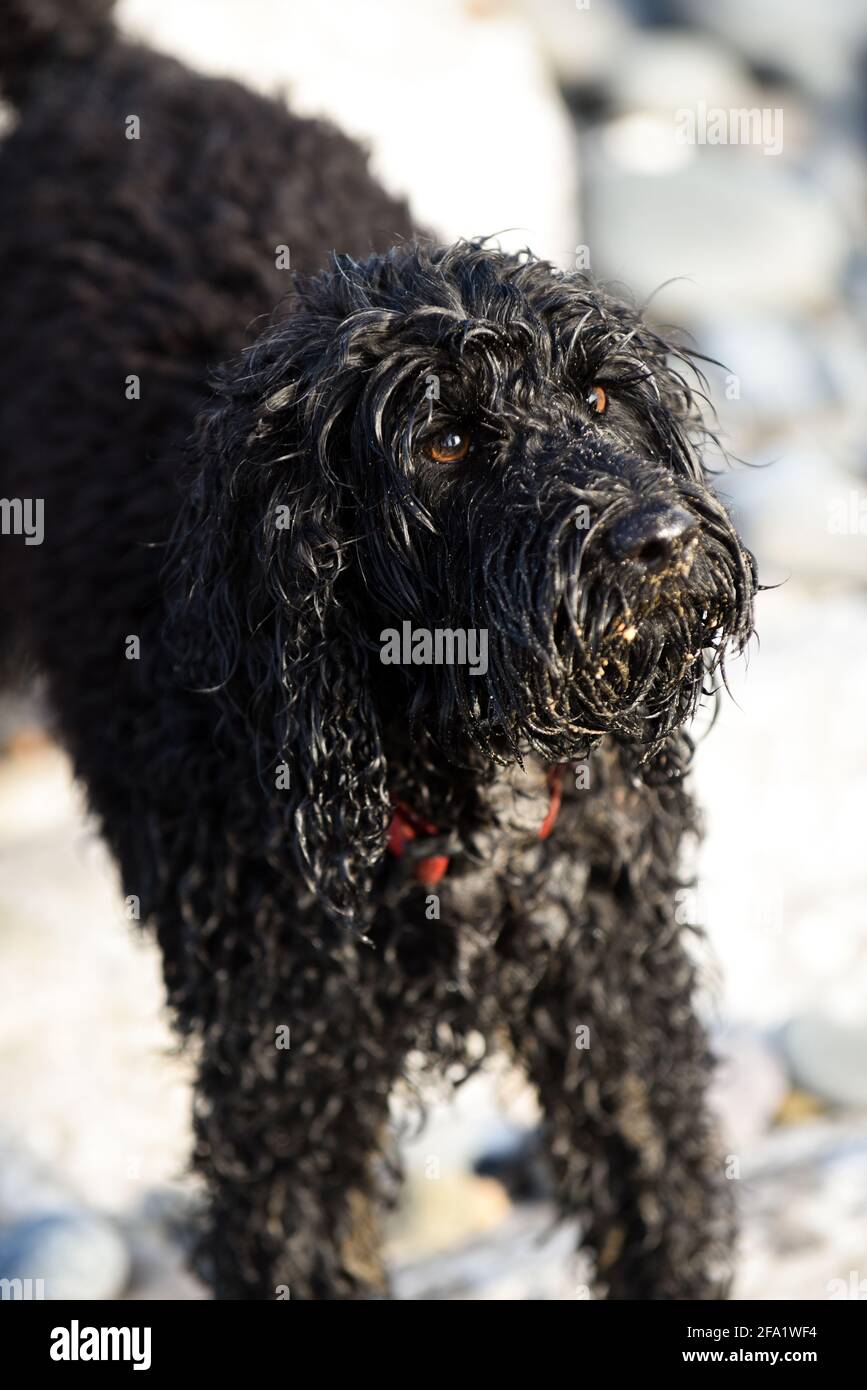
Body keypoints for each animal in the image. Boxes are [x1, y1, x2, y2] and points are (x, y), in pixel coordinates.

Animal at [0, 5, 750, 1295]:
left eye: (603, 399)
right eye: (445, 442)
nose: (653, 540)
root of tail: (94, 61)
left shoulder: (619, 987)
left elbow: (663, 1200)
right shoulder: (284, 1079)